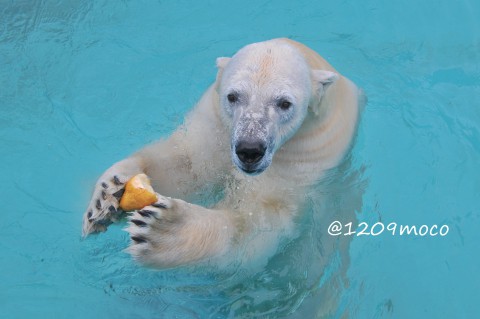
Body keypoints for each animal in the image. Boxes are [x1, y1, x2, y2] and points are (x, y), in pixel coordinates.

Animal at [81, 39, 360, 270]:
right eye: (233, 96)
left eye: (284, 103)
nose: (249, 150)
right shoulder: (214, 124)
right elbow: (188, 166)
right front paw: (109, 195)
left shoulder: (304, 158)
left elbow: (259, 222)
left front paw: (167, 229)